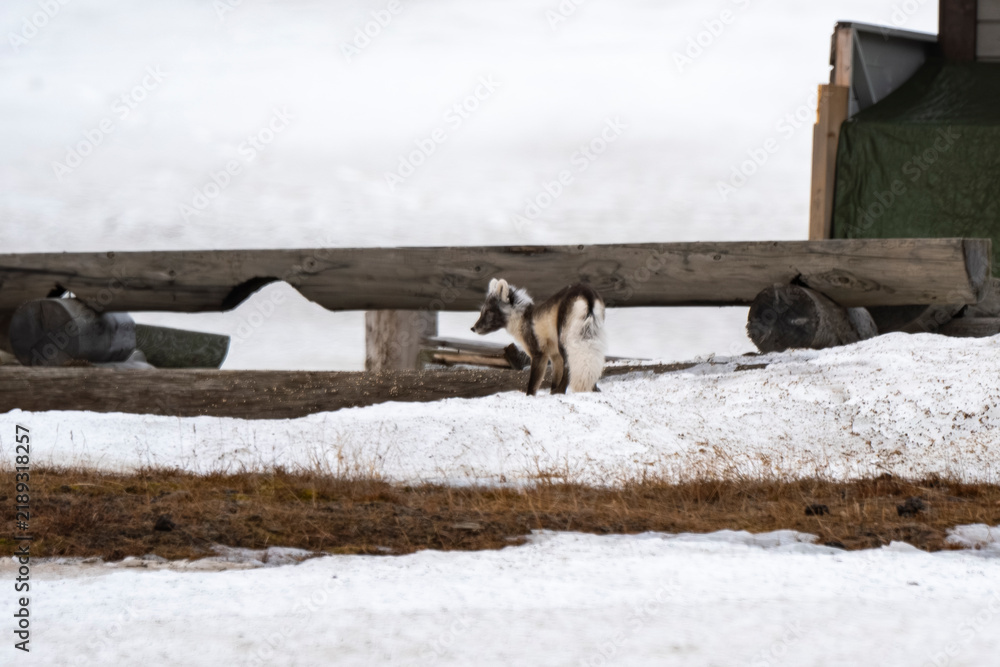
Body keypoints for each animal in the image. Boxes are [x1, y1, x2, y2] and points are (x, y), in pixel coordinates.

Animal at [471, 278, 606, 395]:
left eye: (488, 312)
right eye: (482, 311)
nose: (472, 328)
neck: (522, 318)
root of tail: (586, 292)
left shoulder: (539, 354)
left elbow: (532, 385)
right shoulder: (554, 356)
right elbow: (554, 380)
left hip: (565, 344)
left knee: (569, 369)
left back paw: (558, 392)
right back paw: (592, 390)